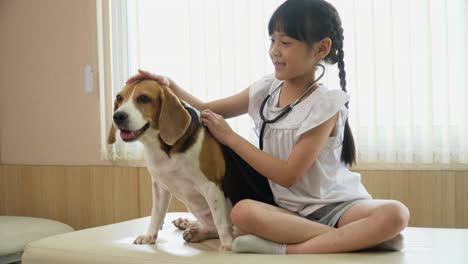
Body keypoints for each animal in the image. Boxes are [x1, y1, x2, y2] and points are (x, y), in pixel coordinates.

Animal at [109, 80, 234, 250]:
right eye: (119, 98)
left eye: (143, 98)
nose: (118, 116)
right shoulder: (160, 187)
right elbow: (156, 214)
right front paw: (149, 237)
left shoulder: (211, 186)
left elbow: (220, 221)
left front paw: (227, 246)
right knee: (210, 226)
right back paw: (191, 227)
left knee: (219, 225)